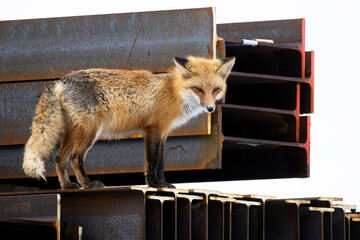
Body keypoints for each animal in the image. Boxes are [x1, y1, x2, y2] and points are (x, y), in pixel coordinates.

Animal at [23, 56, 236, 189]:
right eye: (198, 89)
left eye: (216, 89)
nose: (210, 109)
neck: (175, 92)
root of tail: (63, 80)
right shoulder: (154, 130)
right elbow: (153, 161)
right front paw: (155, 185)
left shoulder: (162, 132)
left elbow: (160, 162)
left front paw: (161, 184)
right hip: (90, 131)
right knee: (75, 158)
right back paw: (88, 184)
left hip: (72, 132)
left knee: (59, 158)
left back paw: (68, 186)